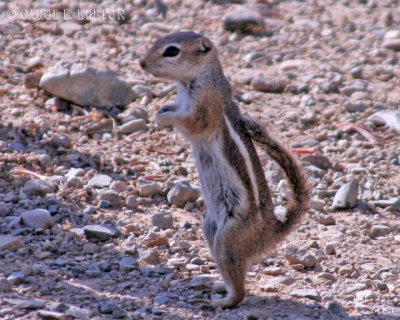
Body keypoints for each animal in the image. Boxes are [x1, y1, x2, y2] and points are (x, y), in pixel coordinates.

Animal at [139, 31, 310, 308]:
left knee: (240, 289)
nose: (142, 63)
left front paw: (163, 117)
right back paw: (219, 286)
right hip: (211, 227)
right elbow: (173, 108)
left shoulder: (205, 109)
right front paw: (161, 109)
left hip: (229, 237)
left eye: (172, 51)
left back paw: (222, 302)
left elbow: (189, 122)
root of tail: (271, 233)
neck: (191, 82)